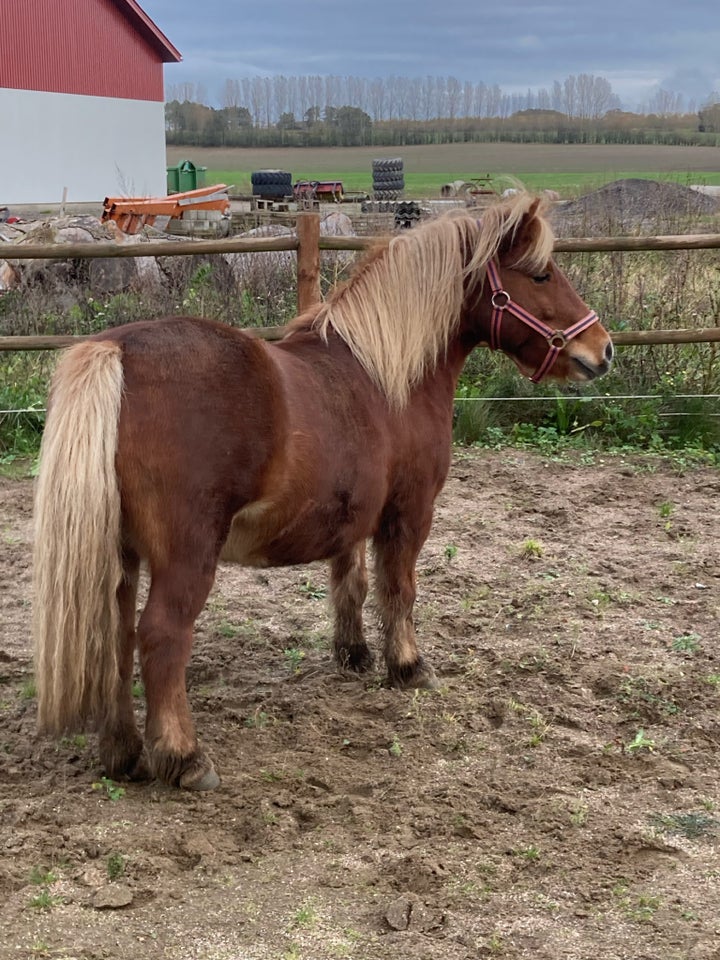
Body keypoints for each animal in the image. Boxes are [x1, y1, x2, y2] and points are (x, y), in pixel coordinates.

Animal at [32, 193, 612, 788]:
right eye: (541, 275)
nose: (603, 349)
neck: (385, 373)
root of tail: (117, 350)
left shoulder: (353, 515)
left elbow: (350, 584)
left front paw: (354, 654)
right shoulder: (410, 512)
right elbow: (400, 589)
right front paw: (409, 666)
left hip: (119, 555)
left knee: (114, 637)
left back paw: (123, 753)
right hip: (185, 557)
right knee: (161, 637)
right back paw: (185, 757)